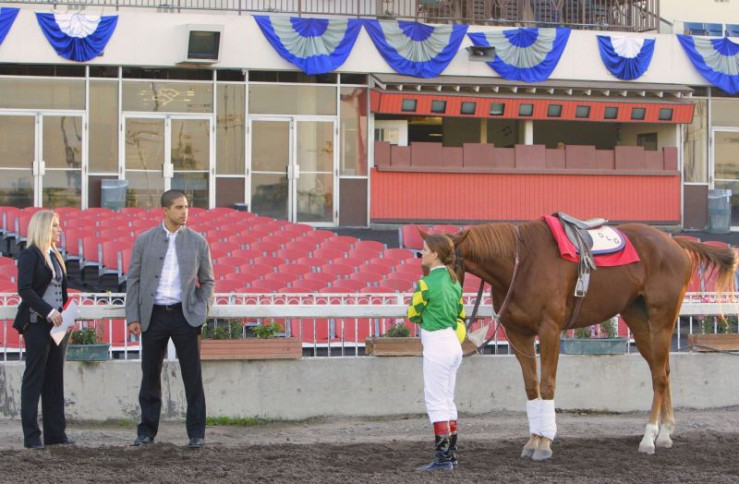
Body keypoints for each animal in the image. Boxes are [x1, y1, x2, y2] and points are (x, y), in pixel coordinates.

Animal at [427, 218, 737, 461]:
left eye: (444, 263)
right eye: (424, 266)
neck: (521, 261)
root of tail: (677, 245)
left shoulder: (550, 330)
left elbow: (547, 384)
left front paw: (544, 443)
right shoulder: (518, 334)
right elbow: (531, 387)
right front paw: (532, 440)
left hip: (662, 317)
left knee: (660, 376)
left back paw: (649, 437)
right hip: (639, 321)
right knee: (662, 371)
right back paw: (665, 433)